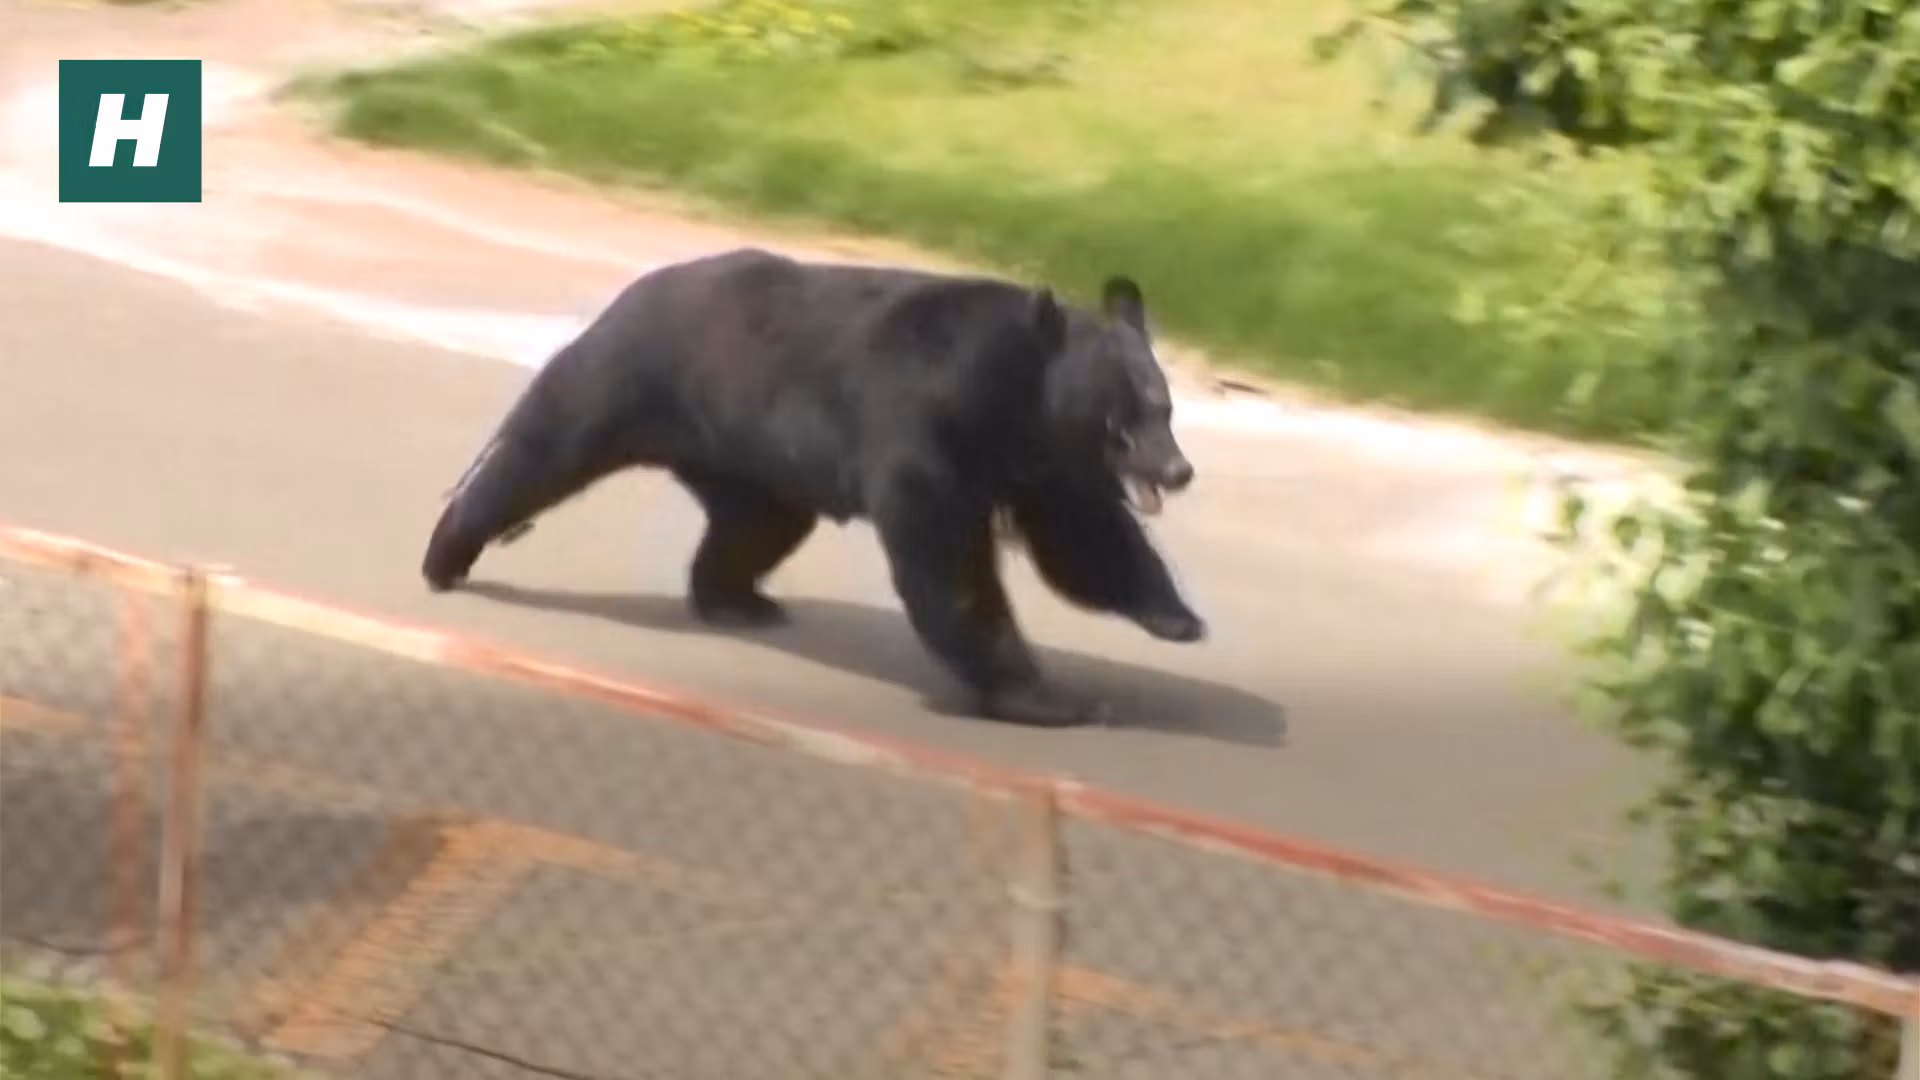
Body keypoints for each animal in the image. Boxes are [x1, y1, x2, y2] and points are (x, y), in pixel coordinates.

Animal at [420, 247, 1205, 727]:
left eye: (1163, 407)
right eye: (1123, 420)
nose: (1178, 471)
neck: (1012, 399)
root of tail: (634, 289)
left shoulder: (1039, 463)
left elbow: (1086, 536)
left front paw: (1178, 617)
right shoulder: (923, 426)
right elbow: (948, 559)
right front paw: (1044, 696)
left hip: (749, 461)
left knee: (756, 528)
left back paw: (739, 601)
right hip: (626, 381)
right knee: (541, 451)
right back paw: (447, 554)